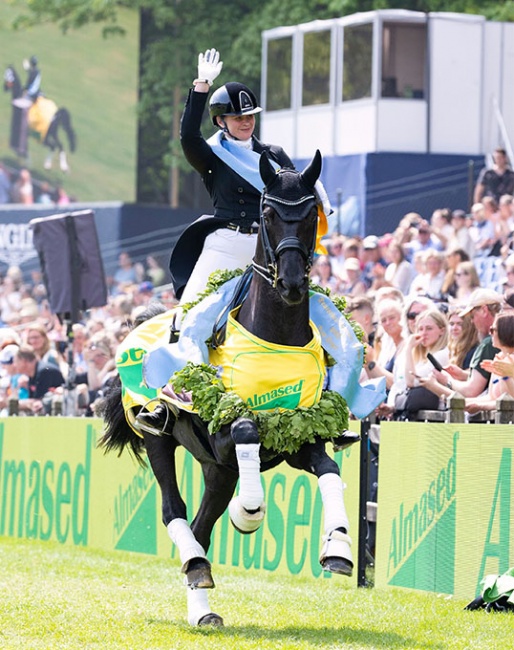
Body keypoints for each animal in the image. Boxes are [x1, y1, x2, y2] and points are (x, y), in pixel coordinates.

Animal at [98, 151, 352, 624]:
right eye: (268, 214)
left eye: (312, 214)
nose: (291, 284)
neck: (276, 336)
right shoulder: (223, 432)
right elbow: (246, 429)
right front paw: (248, 512)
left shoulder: (300, 433)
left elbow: (329, 469)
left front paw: (339, 546)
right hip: (160, 440)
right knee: (175, 512)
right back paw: (199, 573)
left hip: (216, 470)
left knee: (201, 529)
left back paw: (202, 603)